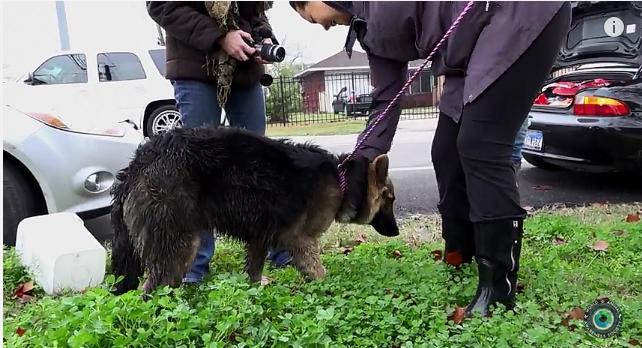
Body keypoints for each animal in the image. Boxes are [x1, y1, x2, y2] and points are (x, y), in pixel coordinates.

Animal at [112, 125, 398, 294]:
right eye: (390, 199)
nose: (396, 232)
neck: (342, 180)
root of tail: (139, 162)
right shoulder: (302, 241)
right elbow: (319, 274)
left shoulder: (260, 238)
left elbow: (253, 273)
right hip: (181, 245)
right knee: (152, 291)